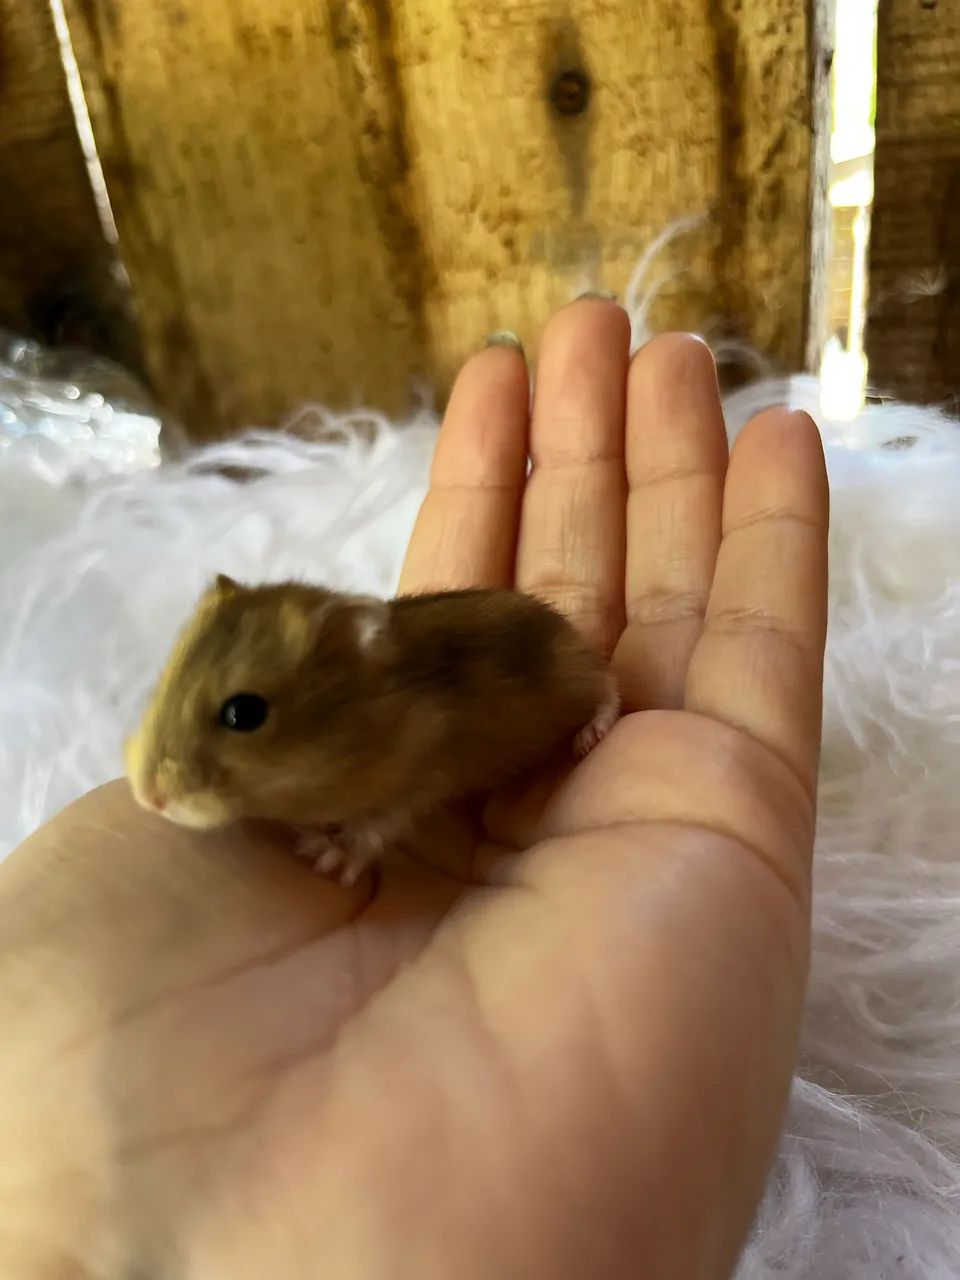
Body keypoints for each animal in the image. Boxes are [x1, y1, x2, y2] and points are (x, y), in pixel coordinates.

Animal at [124, 575, 619, 883]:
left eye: (243, 713)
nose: (147, 799)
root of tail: (563, 625)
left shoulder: (423, 770)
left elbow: (374, 826)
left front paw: (324, 857)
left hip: (573, 679)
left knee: (609, 684)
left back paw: (590, 735)